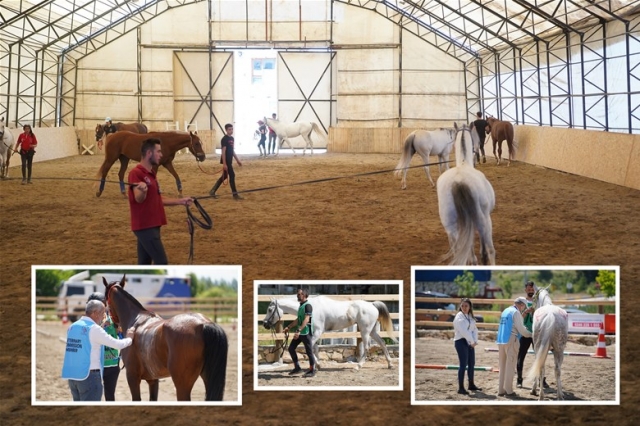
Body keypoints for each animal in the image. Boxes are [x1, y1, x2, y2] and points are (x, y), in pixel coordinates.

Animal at [102, 274, 228, 402]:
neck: (136, 319)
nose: (114, 325)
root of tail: (203, 324)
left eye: (106, 300)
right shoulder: (153, 380)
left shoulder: (132, 377)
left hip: (182, 385)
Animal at [262, 296, 398, 370]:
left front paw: (317, 364)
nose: (265, 324)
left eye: (270, 309)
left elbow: (310, 347)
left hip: (365, 331)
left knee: (367, 346)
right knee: (382, 343)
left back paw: (358, 366)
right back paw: (390, 364)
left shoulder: (318, 332)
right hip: (372, 331)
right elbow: (315, 348)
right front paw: (317, 365)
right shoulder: (314, 333)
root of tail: (372, 304)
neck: (310, 307)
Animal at [436, 121, 496, 264]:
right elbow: (484, 250)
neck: (464, 163)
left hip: (452, 229)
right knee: (490, 250)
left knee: (464, 254)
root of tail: (459, 182)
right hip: (485, 221)